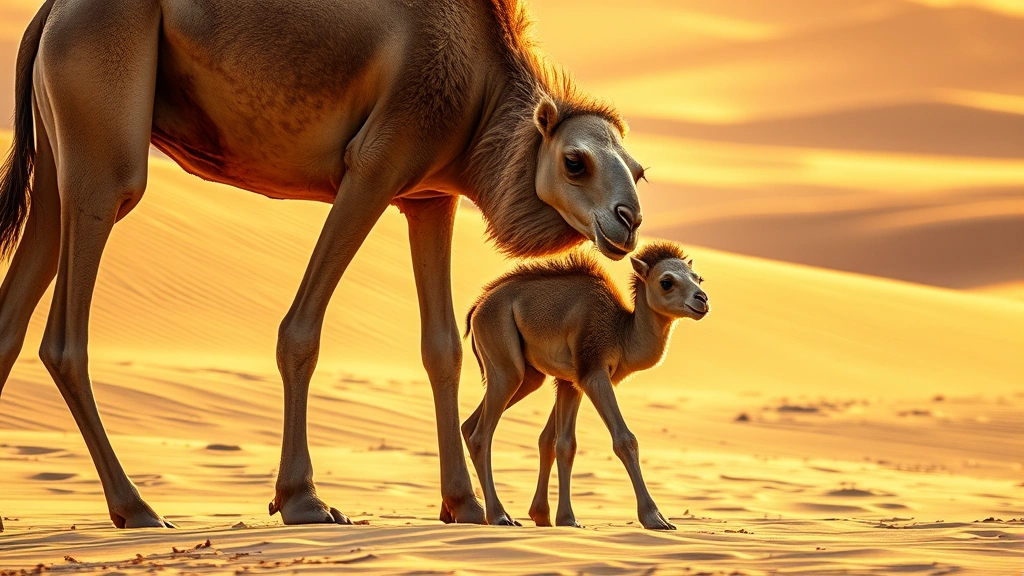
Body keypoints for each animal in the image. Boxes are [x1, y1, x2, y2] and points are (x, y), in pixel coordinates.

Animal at [0, 0, 647, 529]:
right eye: (575, 162)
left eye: (638, 172)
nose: (628, 222)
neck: (482, 93)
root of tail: (51, 11)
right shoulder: (377, 162)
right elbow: (301, 332)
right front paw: (302, 500)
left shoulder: (430, 195)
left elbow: (442, 348)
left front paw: (463, 507)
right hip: (104, 111)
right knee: (68, 328)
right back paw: (136, 508)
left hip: (60, 150)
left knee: (18, 301)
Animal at [460, 242, 708, 529]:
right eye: (666, 282)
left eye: (698, 278)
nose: (702, 299)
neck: (620, 333)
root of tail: (476, 308)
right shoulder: (593, 372)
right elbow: (624, 440)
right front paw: (655, 518)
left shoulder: (571, 381)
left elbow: (559, 443)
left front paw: (554, 517)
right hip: (503, 352)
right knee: (481, 435)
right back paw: (500, 516)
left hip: (529, 377)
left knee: (471, 425)